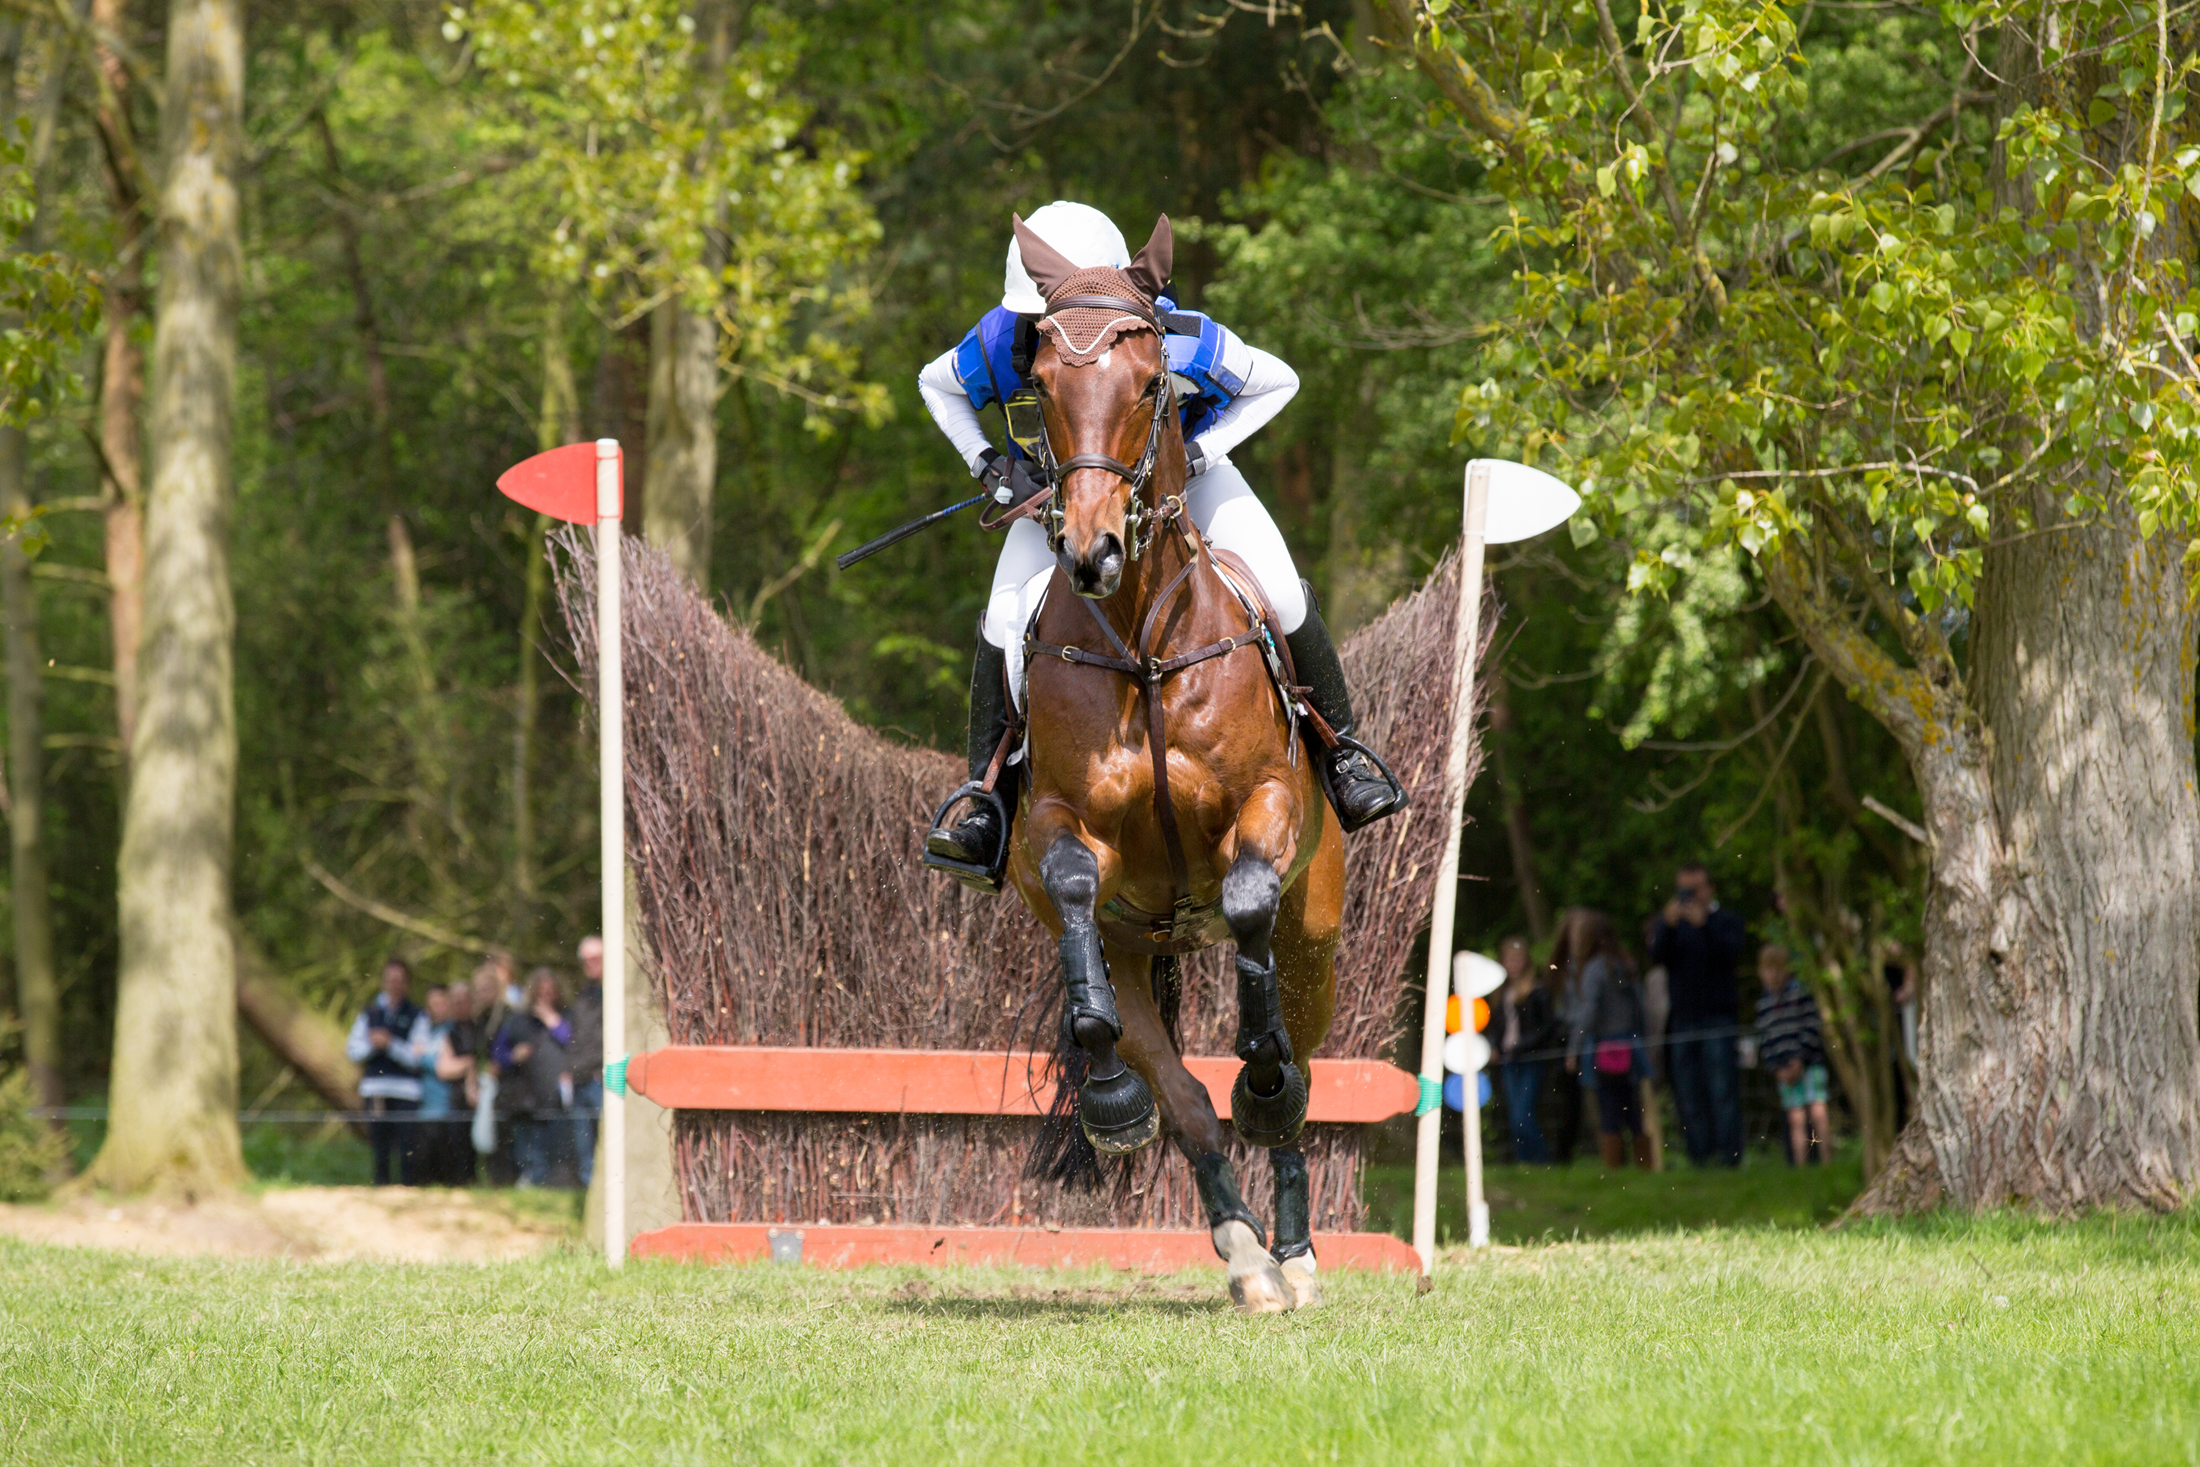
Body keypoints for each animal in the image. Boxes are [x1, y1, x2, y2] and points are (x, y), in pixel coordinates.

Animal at [998, 214, 1346, 1313]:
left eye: (1153, 380)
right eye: (1039, 389)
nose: (1092, 552)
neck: (1146, 643)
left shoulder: (1267, 805)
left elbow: (1245, 898)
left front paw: (1265, 1084)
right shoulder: (1060, 826)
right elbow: (1072, 878)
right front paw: (1110, 1099)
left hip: (1317, 934)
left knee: (1296, 1052)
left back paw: (1292, 1245)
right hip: (1131, 952)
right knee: (1185, 1098)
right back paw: (1243, 1252)